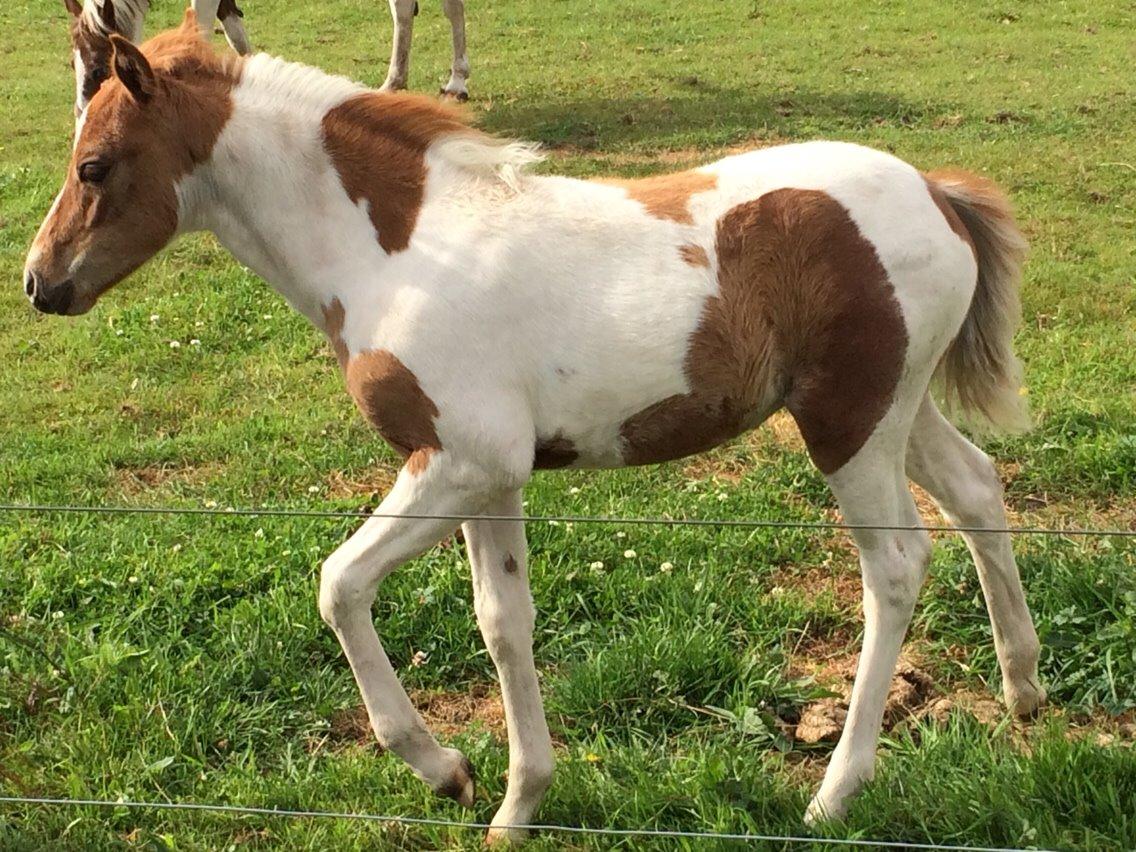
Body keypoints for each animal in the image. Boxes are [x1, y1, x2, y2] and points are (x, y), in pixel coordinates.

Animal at [20, 18, 1045, 840]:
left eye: (92, 165)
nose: (39, 282)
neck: (395, 250)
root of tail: (936, 191)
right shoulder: (493, 479)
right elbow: (503, 623)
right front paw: (517, 804)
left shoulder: (459, 460)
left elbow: (339, 586)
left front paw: (441, 769)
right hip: (895, 410)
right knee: (977, 488)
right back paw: (1023, 688)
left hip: (848, 423)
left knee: (897, 567)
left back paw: (836, 792)